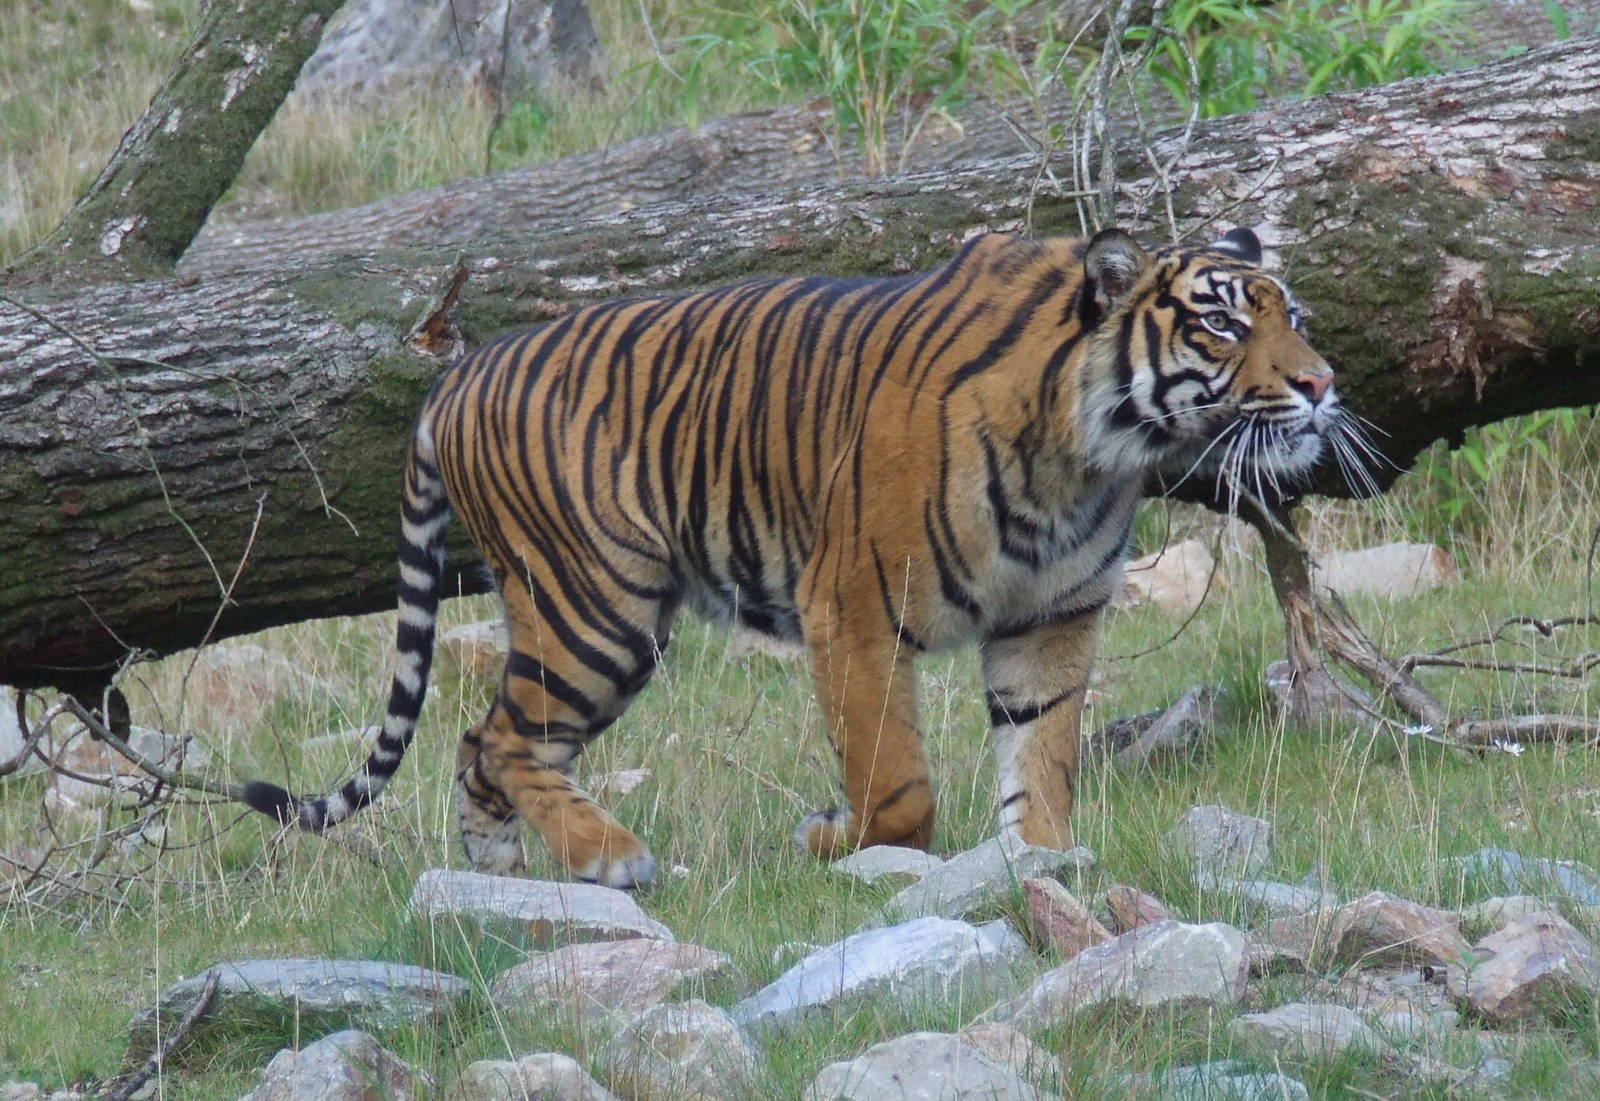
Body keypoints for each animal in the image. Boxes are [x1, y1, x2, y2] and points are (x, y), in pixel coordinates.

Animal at [245, 226, 1338, 890]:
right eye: (1221, 323)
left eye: (1292, 315)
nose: (1323, 385)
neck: (1090, 454)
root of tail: (456, 374)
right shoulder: (852, 607)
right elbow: (895, 780)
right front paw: (835, 839)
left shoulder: (1049, 620)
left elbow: (1043, 760)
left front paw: (1045, 864)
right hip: (599, 608)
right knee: (507, 741)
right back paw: (610, 858)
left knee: (483, 744)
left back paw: (500, 879)